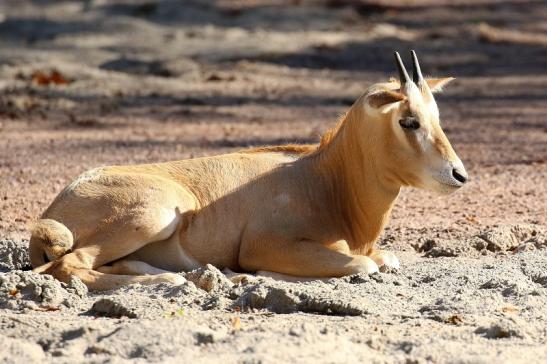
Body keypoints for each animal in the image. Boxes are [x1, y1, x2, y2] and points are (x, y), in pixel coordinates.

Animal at [30, 51, 466, 290]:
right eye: (408, 121)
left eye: (437, 117)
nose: (458, 175)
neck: (325, 179)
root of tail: (60, 202)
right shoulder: (266, 245)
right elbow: (365, 264)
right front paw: (255, 276)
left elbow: (385, 259)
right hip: (157, 213)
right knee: (68, 266)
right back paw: (178, 280)